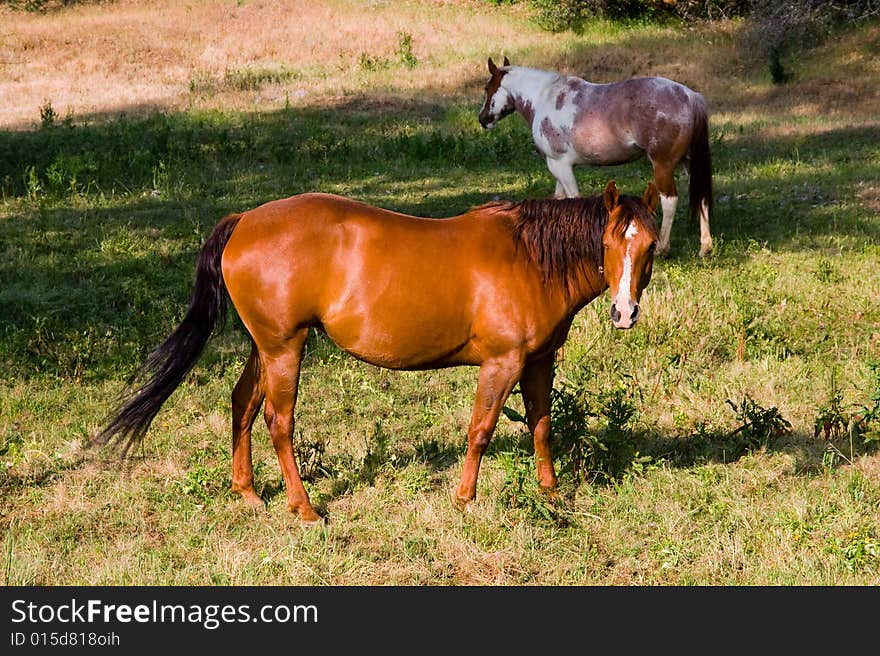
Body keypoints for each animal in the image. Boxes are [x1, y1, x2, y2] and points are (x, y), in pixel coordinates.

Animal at [96, 179, 660, 524]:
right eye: (610, 243)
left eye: (650, 244)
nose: (624, 312)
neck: (529, 257)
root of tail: (246, 220)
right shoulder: (503, 363)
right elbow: (480, 430)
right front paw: (465, 500)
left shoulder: (538, 362)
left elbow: (542, 426)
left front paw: (551, 494)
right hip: (285, 348)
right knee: (278, 422)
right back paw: (304, 509)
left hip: (265, 346)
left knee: (241, 405)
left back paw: (249, 493)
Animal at [478, 57, 712, 256]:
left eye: (488, 88)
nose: (482, 119)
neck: (544, 98)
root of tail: (691, 97)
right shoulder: (558, 166)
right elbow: (559, 200)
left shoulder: (559, 164)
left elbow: (572, 199)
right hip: (690, 164)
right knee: (701, 196)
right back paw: (705, 247)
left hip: (662, 165)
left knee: (670, 201)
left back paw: (662, 248)